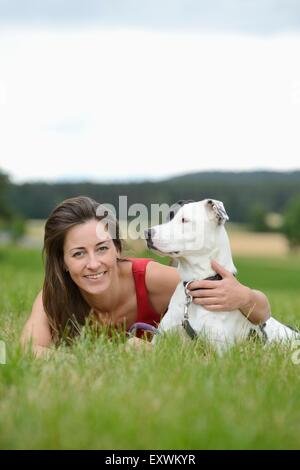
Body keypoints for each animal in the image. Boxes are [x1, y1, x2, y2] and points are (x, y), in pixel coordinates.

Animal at [145, 198, 298, 352]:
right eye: (169, 217)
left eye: (184, 220)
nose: (147, 233)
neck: (196, 282)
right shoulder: (158, 344)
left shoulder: (220, 351)